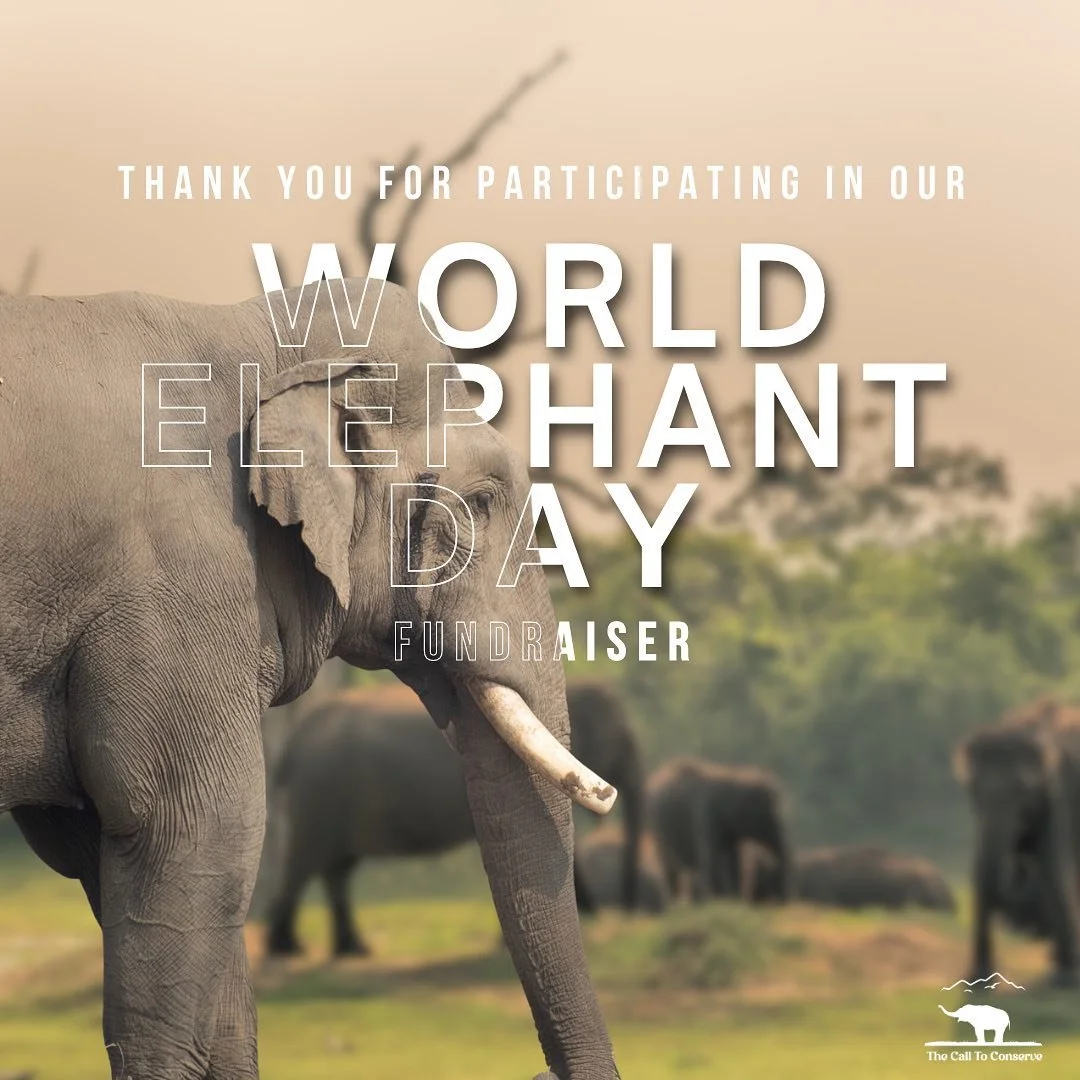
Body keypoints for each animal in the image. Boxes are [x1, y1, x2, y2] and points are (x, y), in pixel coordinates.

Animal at [262, 677, 646, 957]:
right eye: (624, 743)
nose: (629, 911)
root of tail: (293, 745)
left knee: (337, 870)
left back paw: (352, 950)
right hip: (319, 795)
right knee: (306, 864)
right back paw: (287, 950)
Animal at [645, 756, 793, 903]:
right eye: (771, 814)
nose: (782, 899)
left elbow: (734, 858)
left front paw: (734, 898)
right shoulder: (705, 813)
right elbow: (712, 855)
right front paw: (719, 899)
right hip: (659, 829)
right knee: (669, 863)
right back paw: (676, 900)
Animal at [954, 695, 1080, 988]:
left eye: (1024, 789)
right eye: (972, 789)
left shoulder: (1060, 794)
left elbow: (1054, 869)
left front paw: (1065, 979)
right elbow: (980, 869)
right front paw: (977, 984)